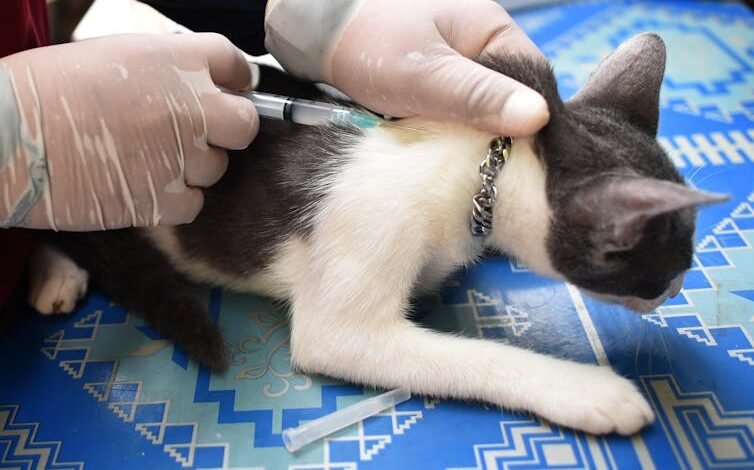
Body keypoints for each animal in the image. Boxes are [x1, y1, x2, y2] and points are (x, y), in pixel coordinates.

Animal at [27, 34, 724, 436]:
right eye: (667, 265)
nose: (679, 286)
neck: (481, 164)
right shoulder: (364, 254)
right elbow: (472, 358)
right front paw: (588, 390)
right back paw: (56, 271)